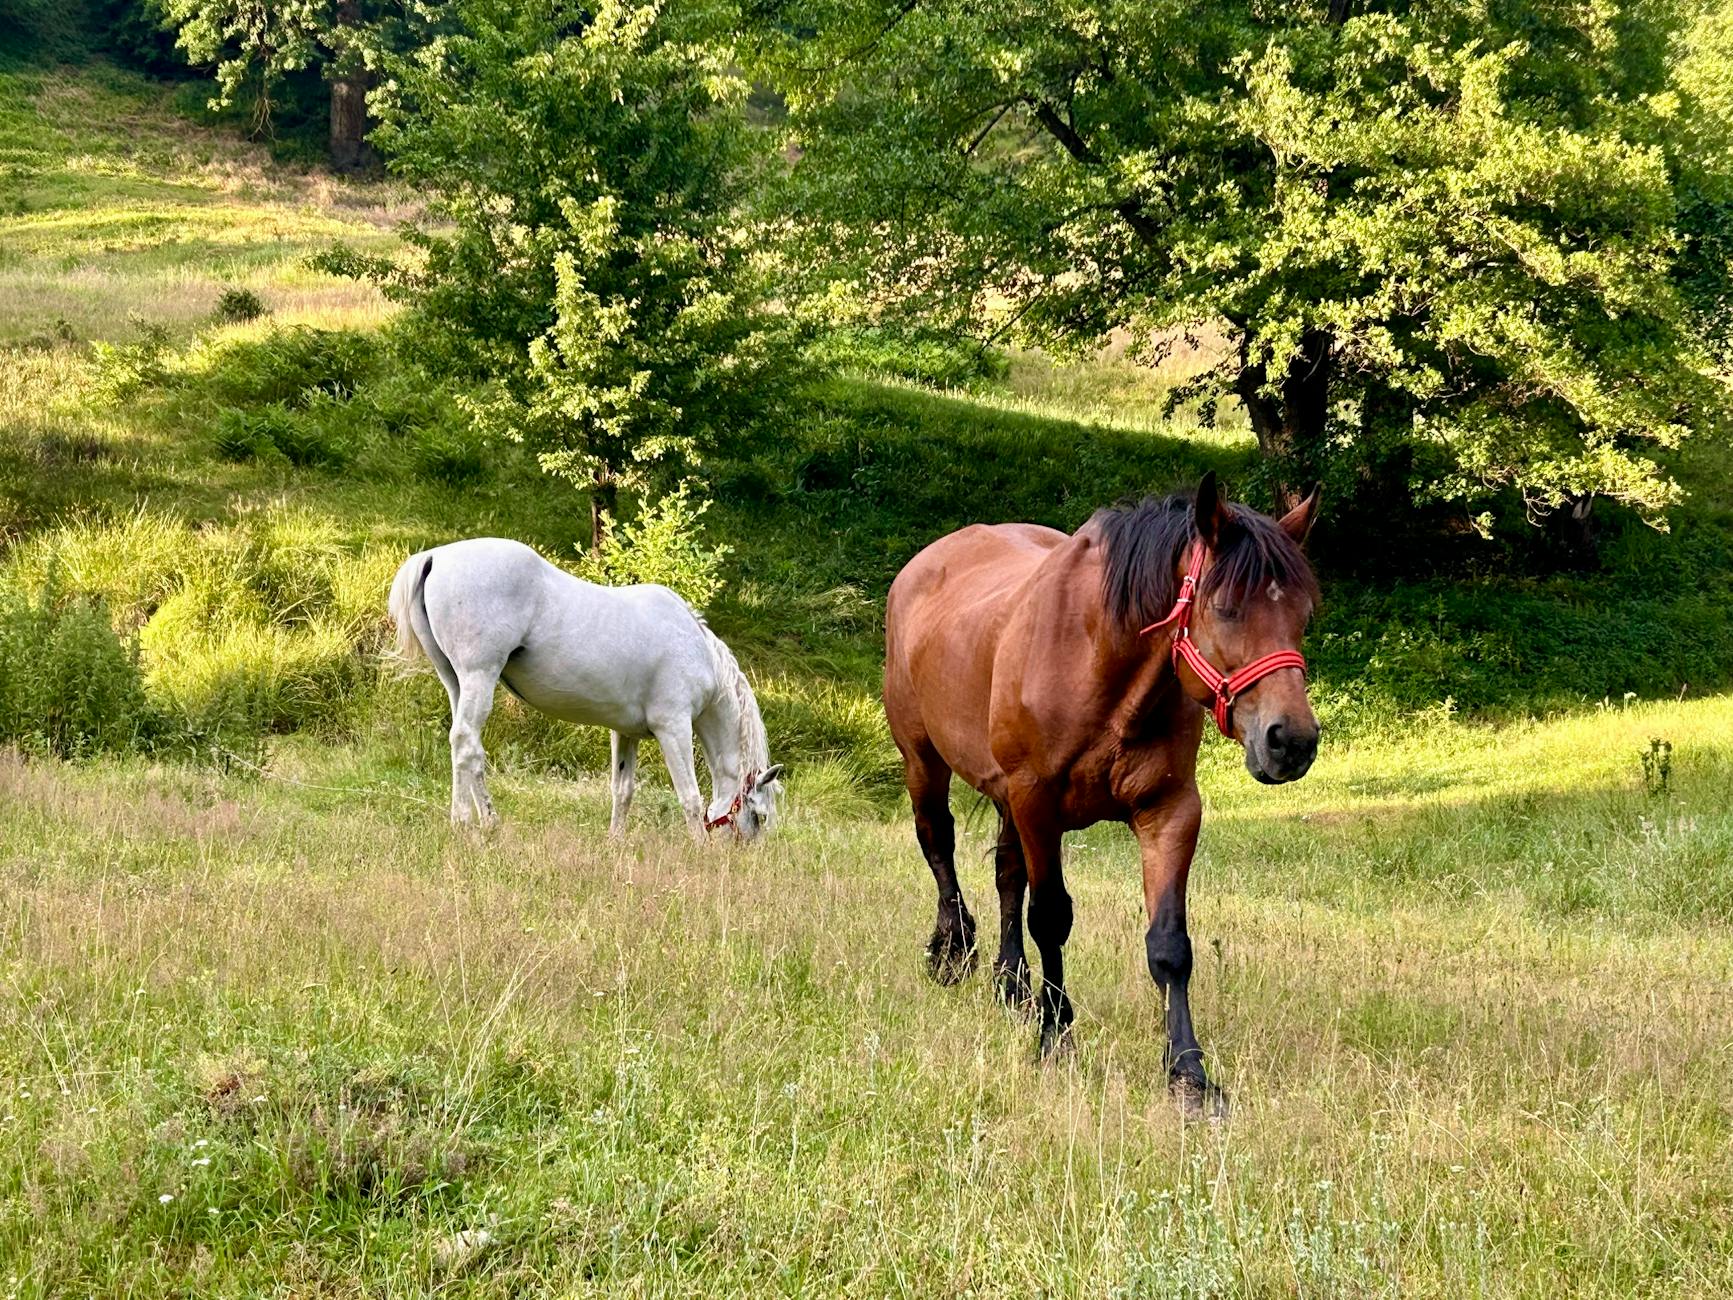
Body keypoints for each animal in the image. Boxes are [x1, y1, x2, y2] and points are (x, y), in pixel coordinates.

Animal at [388, 538, 783, 840]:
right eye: (760, 815)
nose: (740, 854)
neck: (698, 652)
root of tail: (435, 556)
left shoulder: (626, 733)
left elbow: (622, 790)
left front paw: (615, 842)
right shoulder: (674, 727)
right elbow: (690, 794)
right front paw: (698, 846)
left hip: (455, 681)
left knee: (462, 745)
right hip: (479, 676)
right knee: (467, 744)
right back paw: (477, 822)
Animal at [882, 472, 1320, 1111]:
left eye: (1303, 615)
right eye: (1226, 607)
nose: (1292, 741)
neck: (1098, 664)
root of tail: (923, 563)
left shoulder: (1169, 812)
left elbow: (1169, 944)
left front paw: (1189, 1075)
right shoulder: (1037, 802)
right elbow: (1050, 918)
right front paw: (1055, 1037)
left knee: (1006, 875)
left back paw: (1012, 986)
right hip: (924, 761)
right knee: (938, 844)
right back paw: (953, 950)